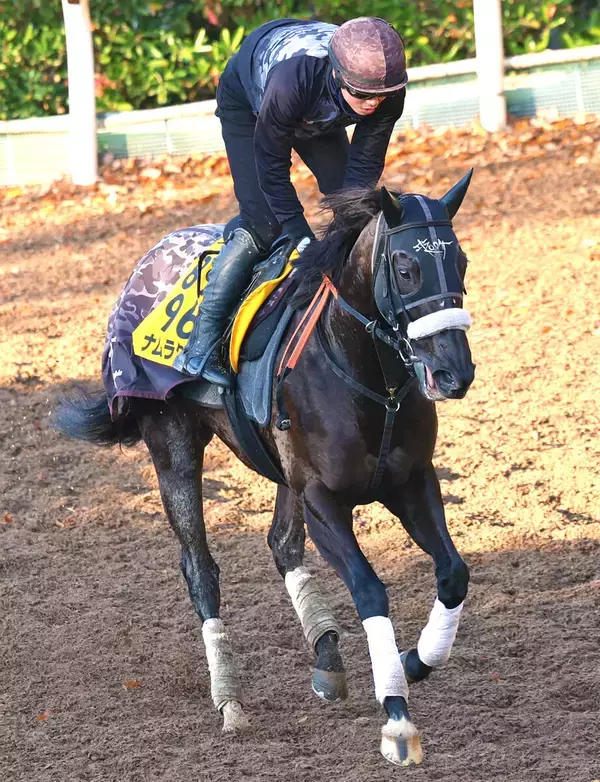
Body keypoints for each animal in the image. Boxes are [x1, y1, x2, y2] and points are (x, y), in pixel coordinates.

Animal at [53, 171, 476, 767]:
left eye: (459, 260)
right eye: (405, 267)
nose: (454, 372)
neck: (370, 376)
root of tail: (147, 260)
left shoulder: (413, 480)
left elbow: (453, 572)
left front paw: (415, 661)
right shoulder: (323, 499)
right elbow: (370, 589)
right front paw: (396, 714)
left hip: (281, 470)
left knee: (281, 544)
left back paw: (327, 655)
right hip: (172, 444)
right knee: (201, 569)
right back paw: (229, 697)